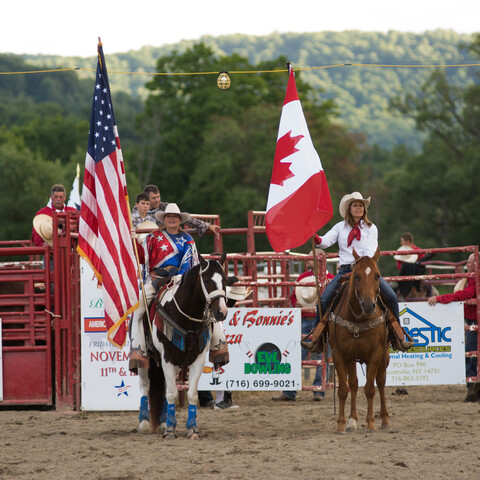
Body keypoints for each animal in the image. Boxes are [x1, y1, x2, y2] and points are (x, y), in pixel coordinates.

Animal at [139, 253, 229, 440]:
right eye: (207, 280)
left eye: (224, 279)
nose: (221, 311)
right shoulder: (167, 357)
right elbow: (172, 393)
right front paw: (171, 430)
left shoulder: (197, 359)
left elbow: (191, 394)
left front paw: (192, 429)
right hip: (147, 358)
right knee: (145, 384)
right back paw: (144, 422)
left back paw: (163, 421)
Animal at [328, 248, 392, 432]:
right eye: (356, 276)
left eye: (377, 275)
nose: (369, 305)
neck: (358, 317)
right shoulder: (339, 355)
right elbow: (343, 389)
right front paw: (341, 425)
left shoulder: (376, 354)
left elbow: (370, 388)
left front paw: (371, 423)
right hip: (351, 358)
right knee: (354, 384)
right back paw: (353, 420)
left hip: (384, 356)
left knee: (381, 383)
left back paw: (385, 420)